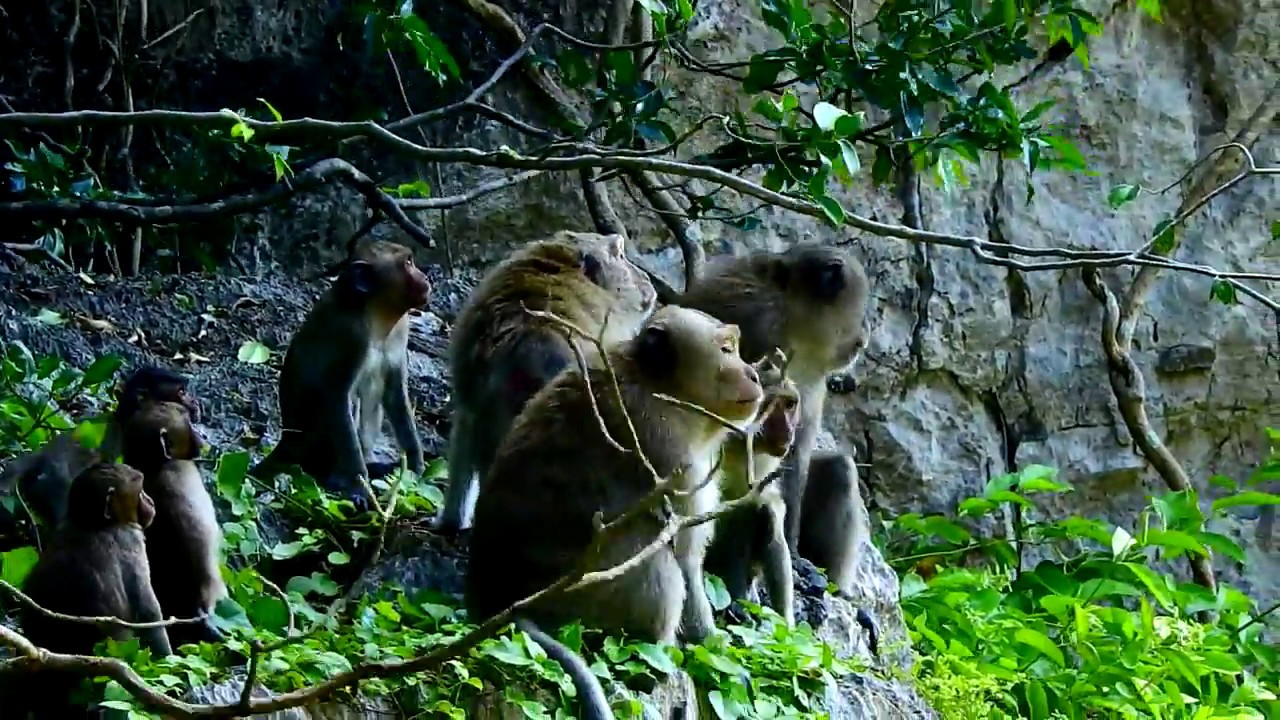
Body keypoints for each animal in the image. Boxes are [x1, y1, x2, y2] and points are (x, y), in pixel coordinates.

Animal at [249, 240, 431, 511]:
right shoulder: (351, 336)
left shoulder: (401, 331)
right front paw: (359, 487)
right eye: (408, 262)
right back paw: (338, 477)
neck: (376, 314)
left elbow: (396, 395)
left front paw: (415, 467)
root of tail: (286, 440)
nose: (425, 277)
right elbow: (336, 396)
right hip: (311, 444)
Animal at [465, 305, 765, 720]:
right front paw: (709, 647)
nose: (753, 374)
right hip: (576, 600)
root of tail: (496, 598)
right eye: (726, 349)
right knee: (652, 559)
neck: (666, 390)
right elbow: (684, 554)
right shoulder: (670, 453)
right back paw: (660, 658)